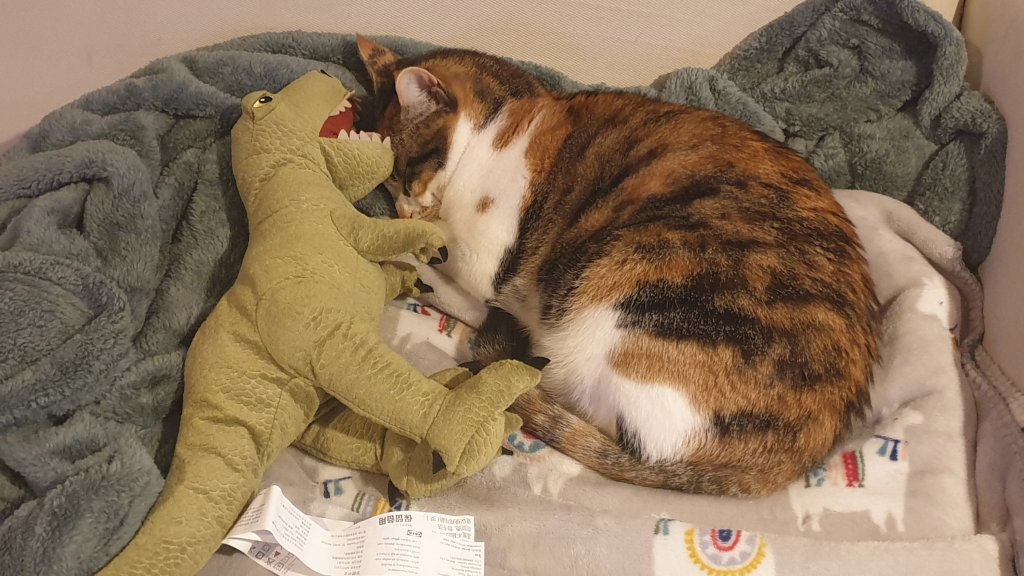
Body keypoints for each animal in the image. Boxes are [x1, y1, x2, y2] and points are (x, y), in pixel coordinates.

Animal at [356, 35, 879, 497]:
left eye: (404, 174)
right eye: (387, 184)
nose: (401, 210)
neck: (505, 122)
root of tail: (777, 463)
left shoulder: (483, 259)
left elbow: (449, 264)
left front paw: (398, 245)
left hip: (608, 305)